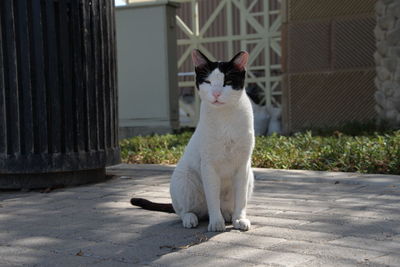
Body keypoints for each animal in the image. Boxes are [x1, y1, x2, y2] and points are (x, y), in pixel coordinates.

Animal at [132, 50, 256, 232]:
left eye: (227, 82)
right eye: (208, 82)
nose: (216, 94)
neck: (225, 117)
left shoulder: (243, 165)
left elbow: (241, 199)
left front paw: (239, 218)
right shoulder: (208, 165)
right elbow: (213, 198)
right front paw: (216, 222)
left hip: (250, 177)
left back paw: (229, 215)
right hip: (184, 180)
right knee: (185, 211)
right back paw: (192, 218)